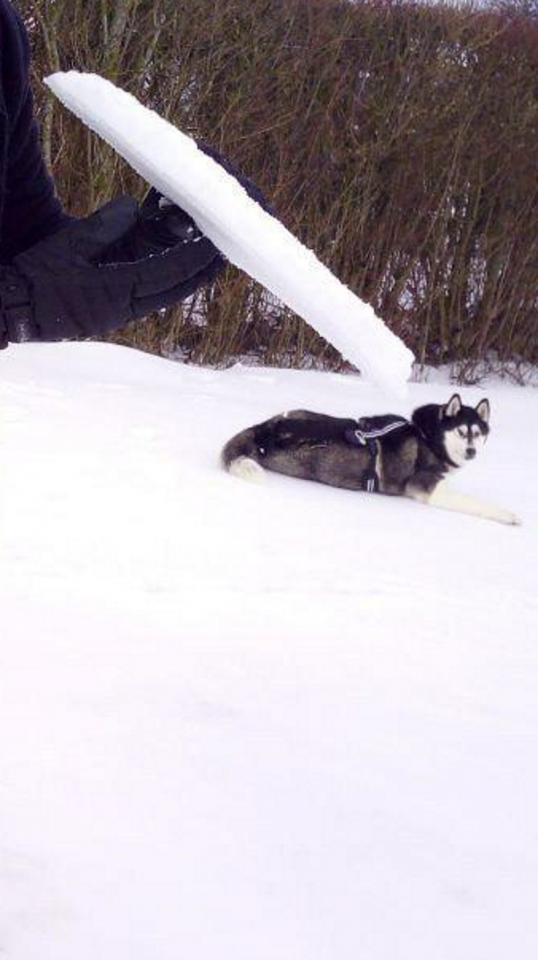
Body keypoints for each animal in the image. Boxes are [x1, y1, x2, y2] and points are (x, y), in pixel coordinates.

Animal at [221, 393, 521, 525]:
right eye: (461, 432)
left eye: (477, 433)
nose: (472, 452)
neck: (429, 438)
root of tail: (264, 429)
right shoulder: (426, 487)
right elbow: (474, 503)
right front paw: (509, 515)